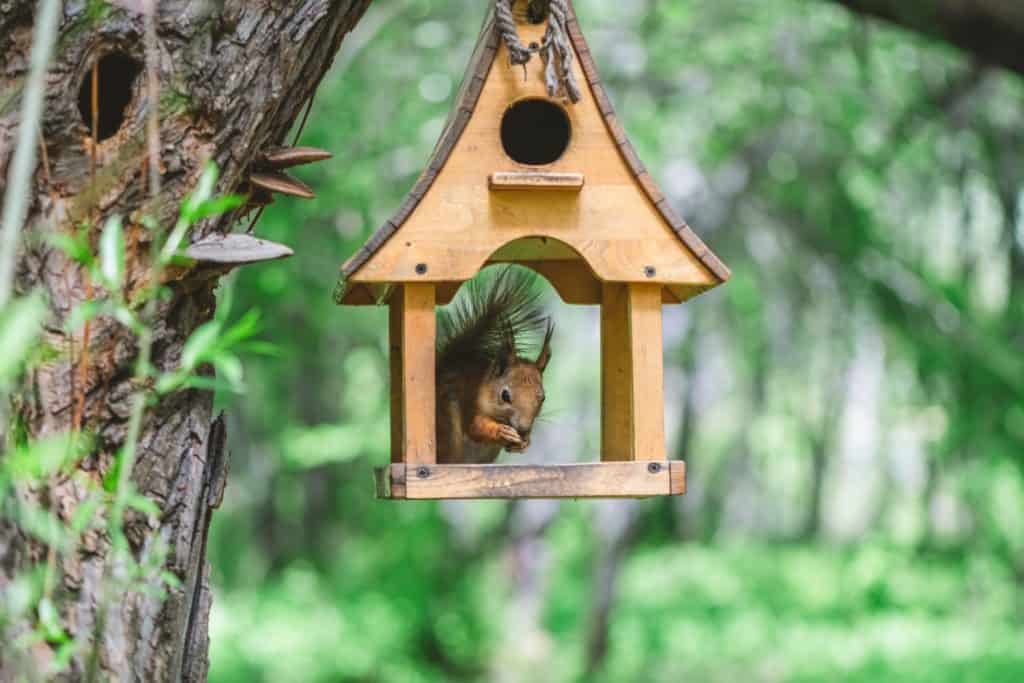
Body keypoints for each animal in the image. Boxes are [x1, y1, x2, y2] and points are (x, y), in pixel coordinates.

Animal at [435, 266, 553, 464]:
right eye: (505, 395)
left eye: (542, 397)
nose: (523, 428)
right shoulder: (468, 401)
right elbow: (475, 427)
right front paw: (500, 431)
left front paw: (525, 442)